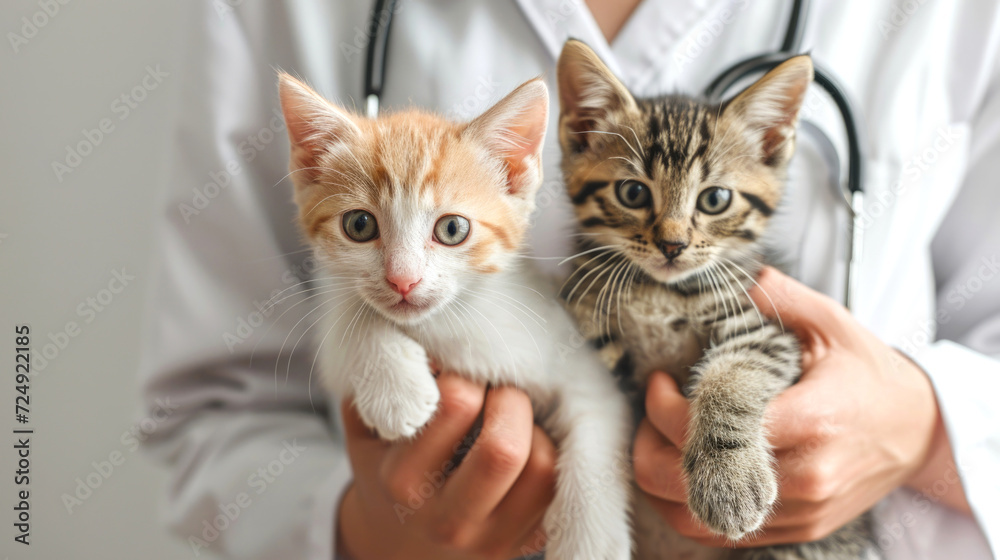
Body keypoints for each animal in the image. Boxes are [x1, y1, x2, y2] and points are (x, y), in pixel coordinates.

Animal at [274, 75, 632, 560]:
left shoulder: (575, 362)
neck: (446, 326)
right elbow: (350, 318)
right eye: (359, 225)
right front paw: (396, 390)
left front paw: (590, 540)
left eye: (452, 229)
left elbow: (596, 427)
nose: (402, 280)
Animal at [560, 40, 880, 560]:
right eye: (632, 192)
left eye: (714, 200)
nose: (672, 245)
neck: (659, 291)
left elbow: (731, 378)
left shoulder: (765, 328)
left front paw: (729, 481)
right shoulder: (582, 310)